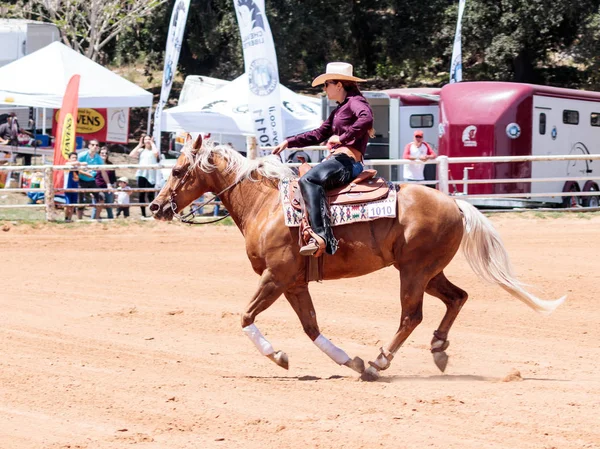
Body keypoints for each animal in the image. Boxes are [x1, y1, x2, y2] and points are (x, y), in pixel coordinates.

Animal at [150, 135, 568, 380]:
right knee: (457, 298)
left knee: (411, 316)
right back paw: (437, 350)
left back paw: (381, 362)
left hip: (414, 272)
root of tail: (456, 203)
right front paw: (348, 361)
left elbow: (246, 317)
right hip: (429, 271)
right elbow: (311, 327)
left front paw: (279, 356)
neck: (266, 205)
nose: (155, 206)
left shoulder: (276, 276)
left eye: (177, 169)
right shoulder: (295, 282)